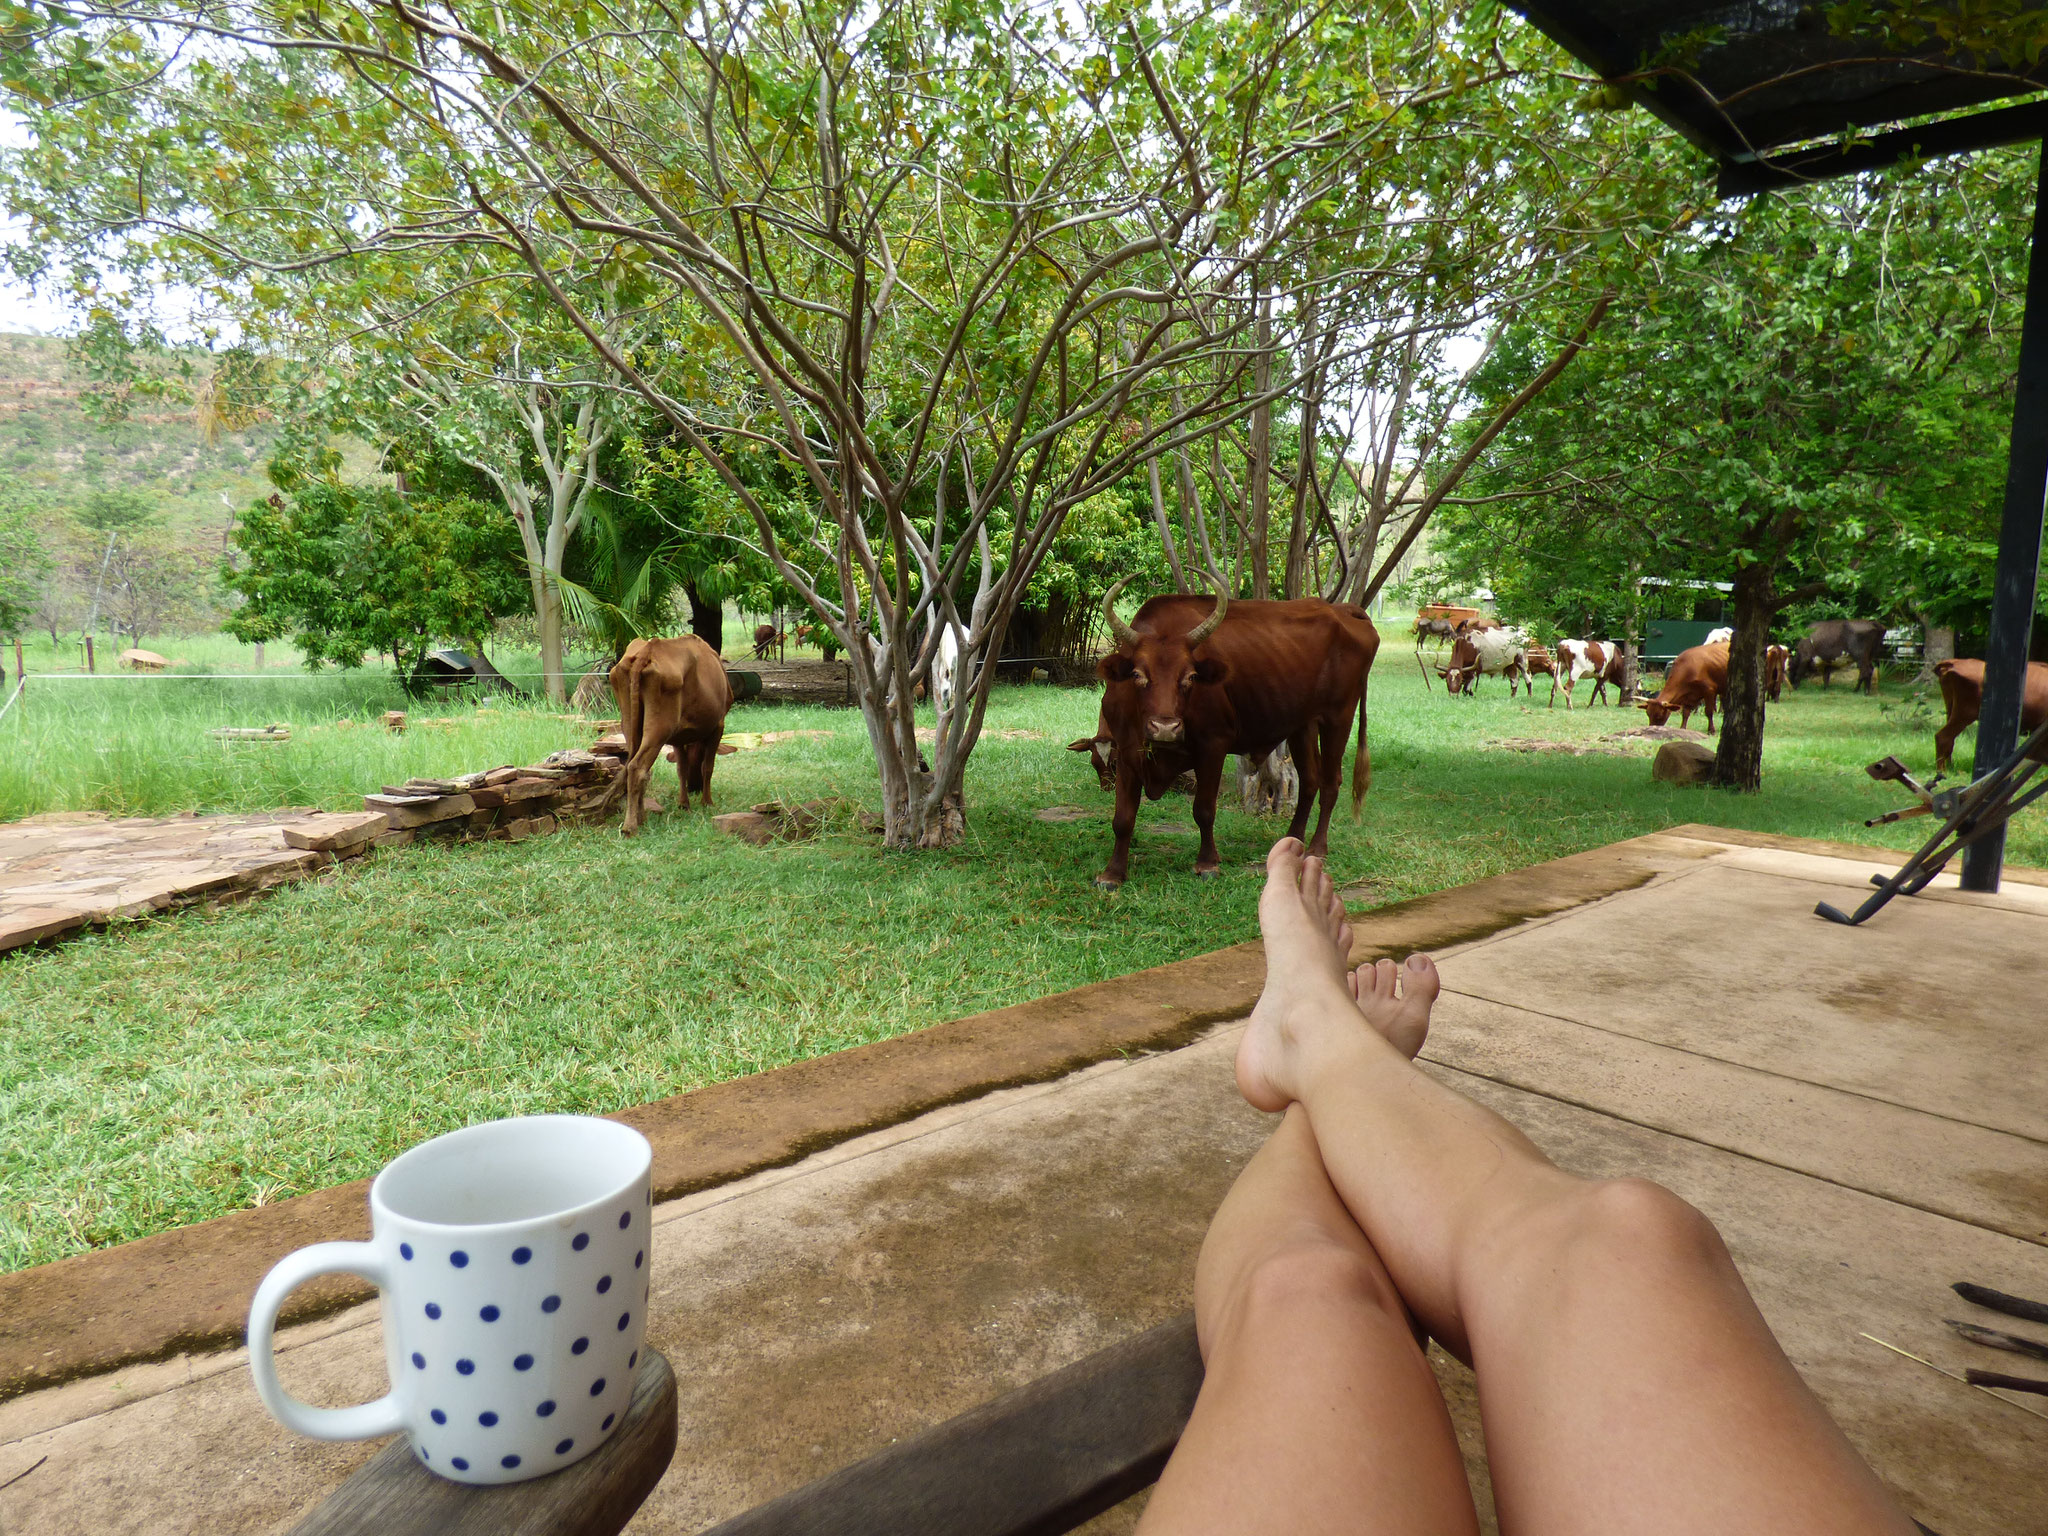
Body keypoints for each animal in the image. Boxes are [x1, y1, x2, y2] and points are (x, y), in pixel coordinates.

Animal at [606, 630, 737, 835]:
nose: (694, 787)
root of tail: (647, 649)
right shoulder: (718, 726)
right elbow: (708, 767)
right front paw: (707, 802)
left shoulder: (677, 737)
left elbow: (681, 769)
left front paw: (684, 803)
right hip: (660, 728)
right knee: (637, 766)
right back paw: (630, 826)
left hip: (630, 724)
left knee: (631, 765)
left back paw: (641, 818)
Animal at [1089, 577, 1376, 888]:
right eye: (1137, 675)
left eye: (1190, 676)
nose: (1165, 728)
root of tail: (1343, 610)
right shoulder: (1127, 751)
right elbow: (1123, 817)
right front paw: (1112, 873)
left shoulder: (1213, 746)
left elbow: (1204, 810)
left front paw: (1207, 863)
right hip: (1303, 724)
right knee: (1310, 780)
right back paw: (1293, 839)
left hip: (1339, 717)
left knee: (1330, 782)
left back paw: (1317, 848)